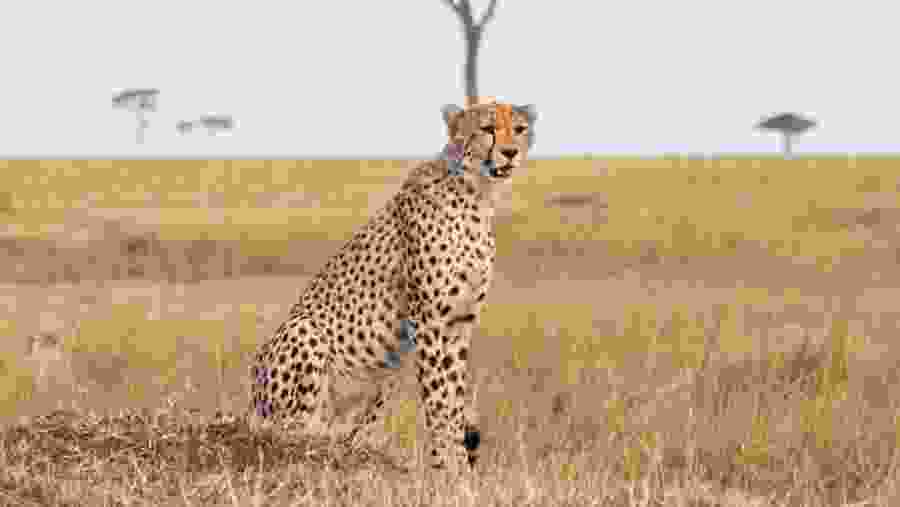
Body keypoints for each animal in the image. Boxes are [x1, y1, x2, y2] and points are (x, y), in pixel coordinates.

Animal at [248, 98, 538, 470]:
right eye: (487, 129)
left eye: (519, 129)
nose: (510, 152)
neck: (478, 193)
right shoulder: (429, 321)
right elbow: (439, 397)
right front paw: (446, 465)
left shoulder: (460, 321)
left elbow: (454, 396)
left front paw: (457, 463)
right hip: (305, 333)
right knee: (289, 427)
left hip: (388, 372)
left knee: (350, 432)